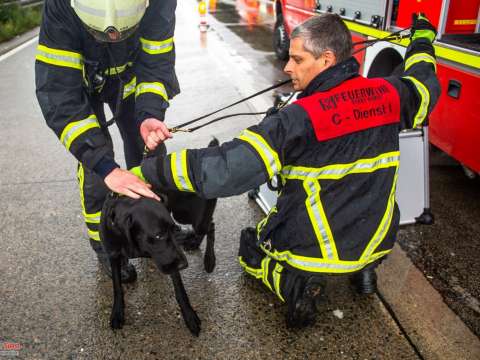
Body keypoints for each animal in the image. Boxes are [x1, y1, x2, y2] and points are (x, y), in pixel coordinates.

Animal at [101, 139, 219, 338]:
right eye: (158, 235)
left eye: (173, 230)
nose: (184, 265)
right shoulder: (113, 255)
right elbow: (117, 286)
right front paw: (117, 312)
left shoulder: (171, 258)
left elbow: (180, 291)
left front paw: (189, 316)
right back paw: (194, 243)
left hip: (189, 216)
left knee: (210, 225)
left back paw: (209, 260)